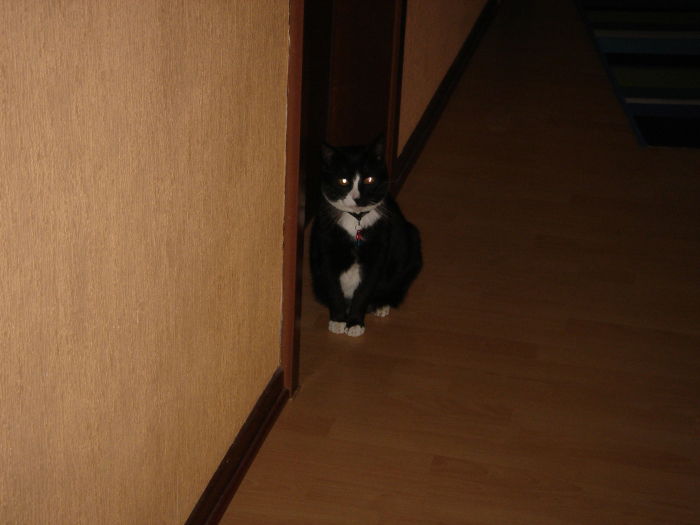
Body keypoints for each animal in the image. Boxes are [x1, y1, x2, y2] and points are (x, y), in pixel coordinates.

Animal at [309, 135, 422, 337]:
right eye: (343, 181)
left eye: (369, 179)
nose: (357, 197)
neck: (356, 220)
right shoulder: (326, 249)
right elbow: (333, 287)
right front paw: (338, 320)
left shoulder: (377, 254)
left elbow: (364, 290)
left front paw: (354, 323)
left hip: (412, 243)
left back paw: (380, 305)